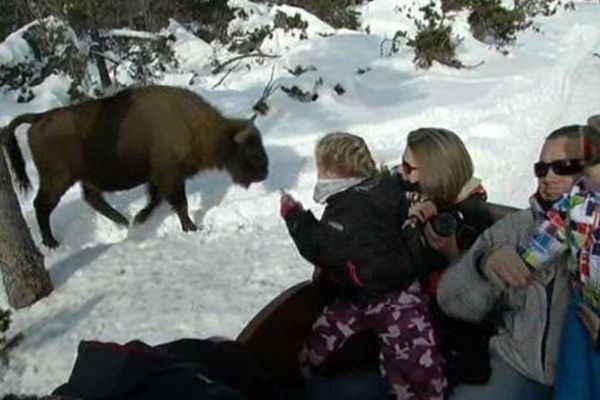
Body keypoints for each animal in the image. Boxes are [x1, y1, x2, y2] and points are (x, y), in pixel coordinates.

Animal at [1, 85, 270, 247]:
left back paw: (123, 221)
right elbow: (179, 203)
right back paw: (52, 243)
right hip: (57, 179)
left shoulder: (158, 177)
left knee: (92, 198)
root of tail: (38, 118)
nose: (265, 173)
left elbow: (155, 199)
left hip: (84, 178)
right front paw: (191, 227)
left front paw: (140, 219)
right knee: (42, 205)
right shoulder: (170, 176)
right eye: (251, 151)